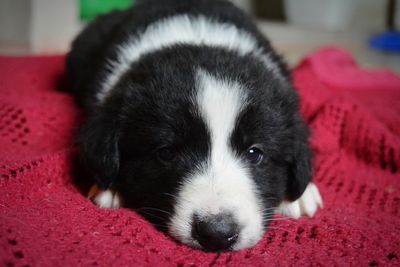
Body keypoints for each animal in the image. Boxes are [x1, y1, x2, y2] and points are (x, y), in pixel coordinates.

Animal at [65, 0, 322, 252]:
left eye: (254, 153)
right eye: (166, 152)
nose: (218, 233)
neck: (199, 42)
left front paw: (300, 195)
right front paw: (112, 189)